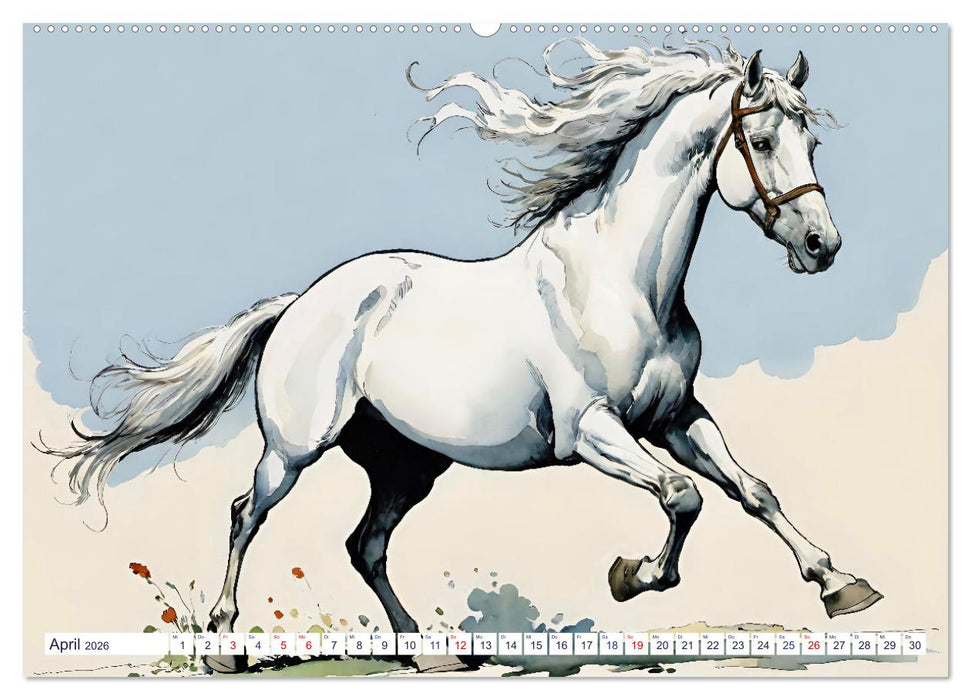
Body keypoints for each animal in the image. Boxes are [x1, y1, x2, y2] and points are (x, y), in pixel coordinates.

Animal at [44, 39, 882, 673]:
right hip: (293, 449)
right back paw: (224, 647)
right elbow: (682, 498)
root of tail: (300, 303)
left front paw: (840, 583)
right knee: (246, 514)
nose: (822, 246)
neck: (622, 282)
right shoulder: (592, 432)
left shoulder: (676, 417)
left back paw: (425, 651)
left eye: (811, 140)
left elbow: (751, 491)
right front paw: (631, 577)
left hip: (406, 465)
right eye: (763, 141)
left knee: (365, 545)